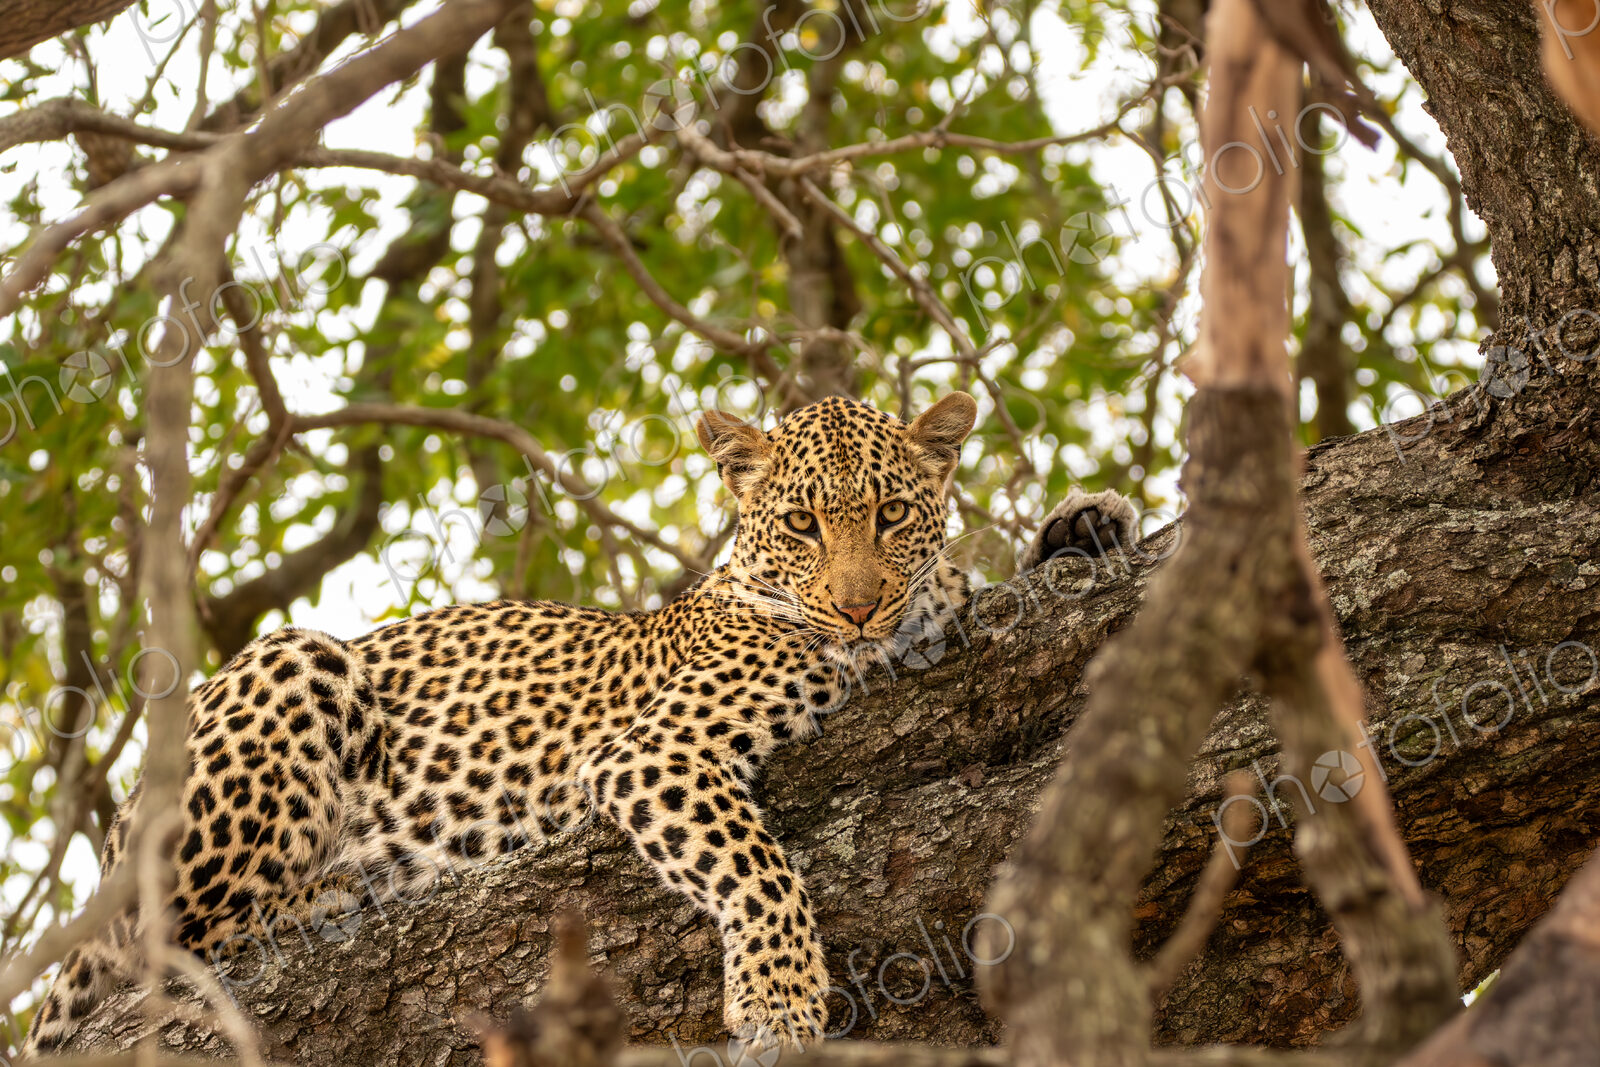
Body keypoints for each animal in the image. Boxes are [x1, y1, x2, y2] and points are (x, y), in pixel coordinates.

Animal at [20, 392, 1135, 1057]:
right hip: (297, 662)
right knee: (173, 938)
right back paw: (340, 886)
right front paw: (780, 1000)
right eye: (802, 523)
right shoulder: (653, 752)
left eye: (892, 515)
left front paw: (1083, 520)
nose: (859, 605)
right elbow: (760, 866)